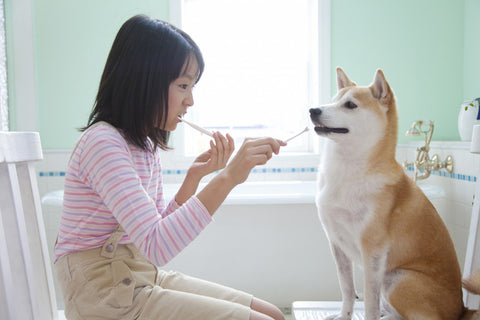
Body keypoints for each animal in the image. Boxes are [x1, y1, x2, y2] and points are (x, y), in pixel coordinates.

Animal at [310, 66, 480, 318]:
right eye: (332, 101)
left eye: (350, 105)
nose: (313, 110)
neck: (349, 173)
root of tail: (461, 309)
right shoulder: (337, 244)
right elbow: (348, 290)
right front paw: (344, 315)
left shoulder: (373, 252)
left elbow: (369, 303)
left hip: (397, 278)